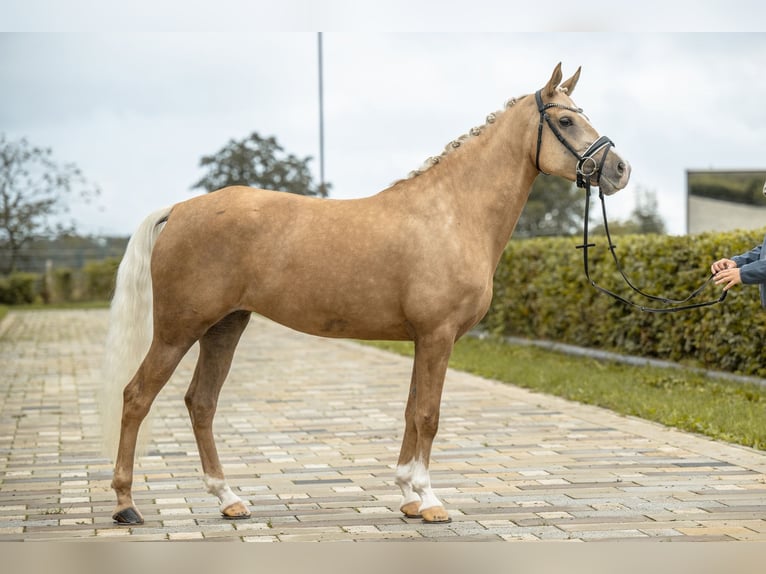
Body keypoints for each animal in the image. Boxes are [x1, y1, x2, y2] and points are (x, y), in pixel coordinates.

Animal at [103, 64, 632, 528]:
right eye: (565, 120)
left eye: (581, 113)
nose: (619, 169)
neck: (452, 213)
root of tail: (179, 209)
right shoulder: (438, 335)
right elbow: (429, 415)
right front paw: (431, 500)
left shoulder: (423, 339)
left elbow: (411, 412)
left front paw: (407, 496)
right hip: (178, 330)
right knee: (136, 396)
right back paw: (127, 505)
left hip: (225, 326)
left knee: (201, 403)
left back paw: (229, 498)